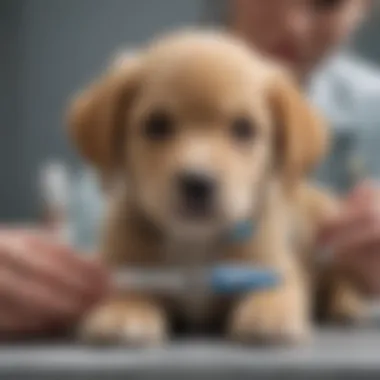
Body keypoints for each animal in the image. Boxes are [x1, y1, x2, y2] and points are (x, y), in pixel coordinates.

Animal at [67, 30, 362, 344]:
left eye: (244, 128)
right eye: (156, 125)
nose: (198, 182)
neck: (195, 242)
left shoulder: (275, 266)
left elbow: (276, 289)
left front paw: (269, 312)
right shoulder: (126, 266)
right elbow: (126, 288)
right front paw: (123, 310)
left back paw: (346, 304)